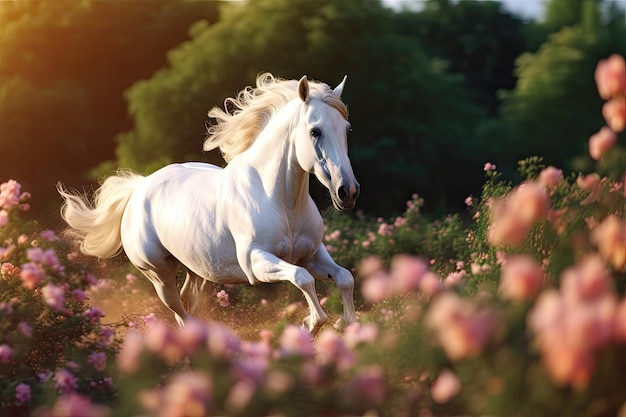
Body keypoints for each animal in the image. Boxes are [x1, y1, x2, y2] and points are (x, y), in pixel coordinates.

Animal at [61, 74, 360, 334]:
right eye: (315, 131)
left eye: (347, 129)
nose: (347, 192)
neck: (282, 202)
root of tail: (139, 189)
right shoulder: (257, 263)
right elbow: (302, 278)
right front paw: (309, 325)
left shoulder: (312, 254)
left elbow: (345, 277)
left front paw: (343, 324)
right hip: (158, 274)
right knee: (179, 311)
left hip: (196, 268)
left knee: (187, 302)